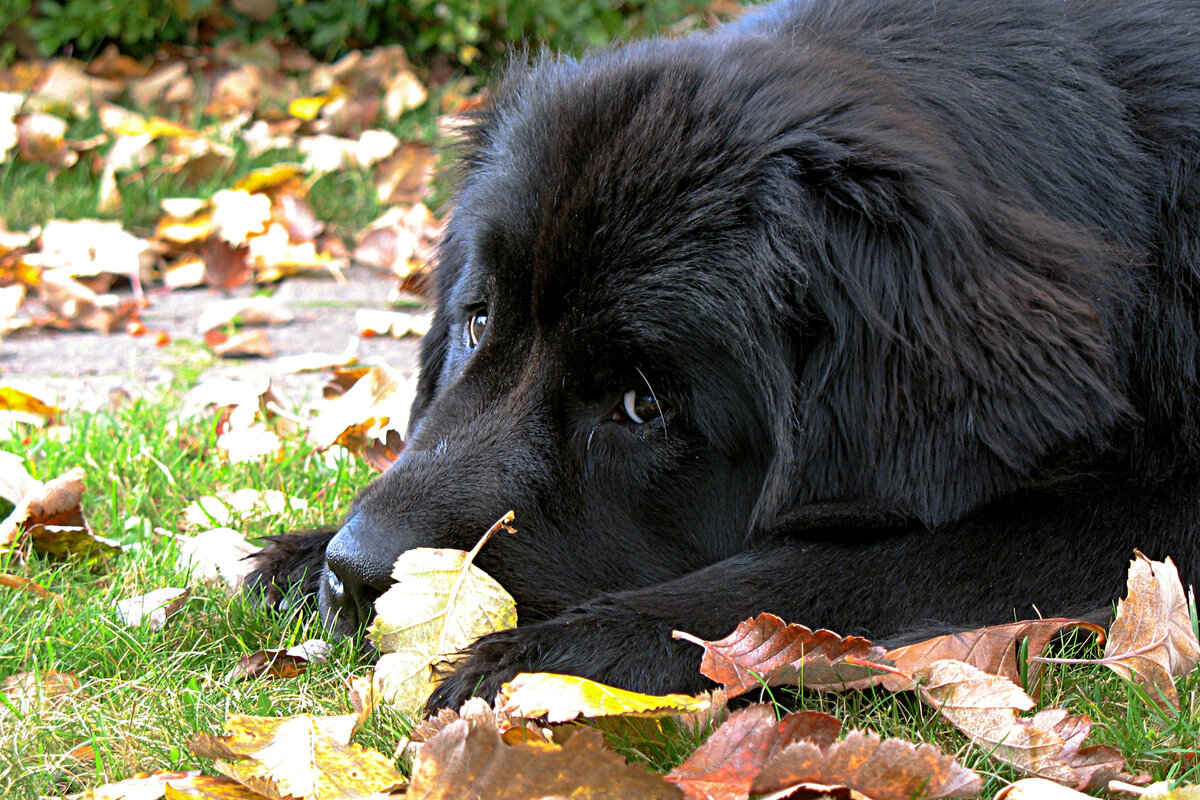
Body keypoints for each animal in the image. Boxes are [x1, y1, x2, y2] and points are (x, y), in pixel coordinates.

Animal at [250, 0, 1200, 710]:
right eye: (479, 322)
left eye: (643, 406)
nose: (354, 574)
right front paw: (300, 553)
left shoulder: (1156, 516)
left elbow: (868, 565)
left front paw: (557, 654)